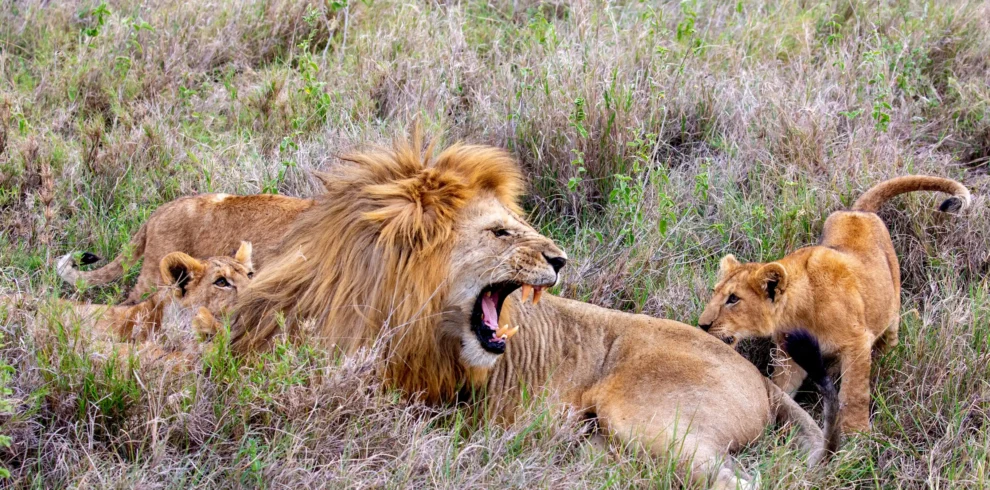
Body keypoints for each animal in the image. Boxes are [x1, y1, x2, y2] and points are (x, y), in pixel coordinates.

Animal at [698, 175, 971, 434]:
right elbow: (782, 387)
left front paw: (857, 435)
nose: (702, 325)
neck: (798, 311)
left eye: (733, 299)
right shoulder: (790, 354)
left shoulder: (857, 342)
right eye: (715, 292)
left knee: (890, 334)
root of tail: (858, 211)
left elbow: (854, 394)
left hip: (891, 305)